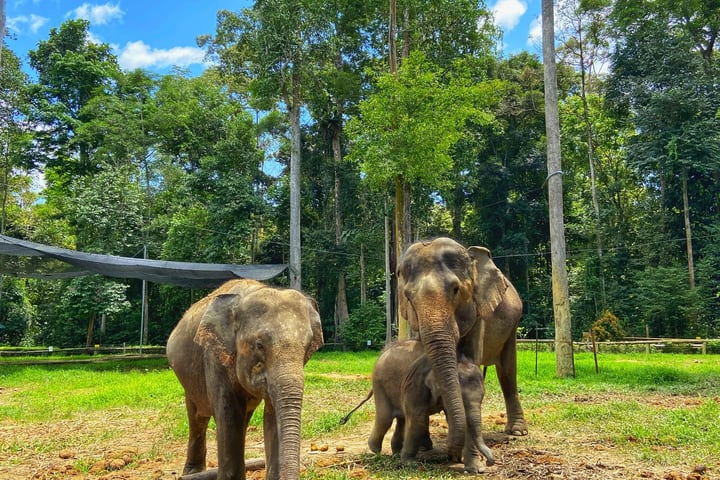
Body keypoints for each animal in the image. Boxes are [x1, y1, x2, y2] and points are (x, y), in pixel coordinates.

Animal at [166, 279, 324, 480]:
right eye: (259, 345)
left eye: (308, 346)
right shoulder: (215, 357)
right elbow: (229, 414)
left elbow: (272, 415)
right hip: (189, 381)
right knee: (197, 417)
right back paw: (192, 473)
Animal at [365, 339, 495, 472]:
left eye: (483, 397)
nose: (489, 462)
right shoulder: (415, 383)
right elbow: (418, 418)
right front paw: (410, 464)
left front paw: (475, 468)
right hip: (379, 384)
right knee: (385, 419)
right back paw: (375, 450)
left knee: (401, 418)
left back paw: (396, 453)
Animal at [398, 237, 527, 458]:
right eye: (408, 296)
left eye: (455, 290)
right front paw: (423, 445)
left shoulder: (478, 313)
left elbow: (472, 359)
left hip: (513, 324)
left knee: (507, 371)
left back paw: (517, 432)